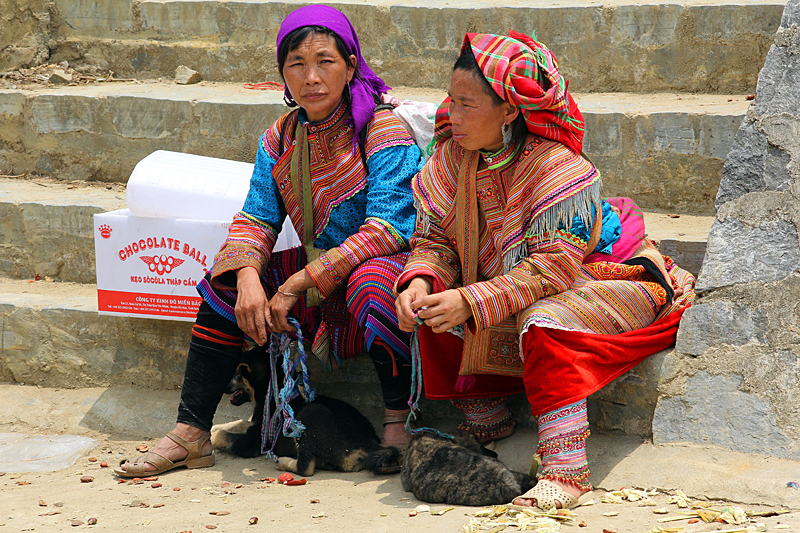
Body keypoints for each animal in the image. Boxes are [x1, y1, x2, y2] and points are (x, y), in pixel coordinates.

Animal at [211, 348, 400, 476]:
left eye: (237, 374)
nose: (221, 387)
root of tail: (369, 442)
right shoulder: (256, 422)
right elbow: (237, 422)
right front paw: (213, 428)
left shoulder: (255, 440)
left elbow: (222, 435)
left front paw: (212, 437)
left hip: (309, 415)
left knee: (306, 467)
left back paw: (283, 462)